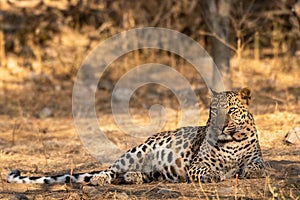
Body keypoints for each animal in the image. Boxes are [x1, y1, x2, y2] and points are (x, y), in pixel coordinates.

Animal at [6, 87, 264, 184]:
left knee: (142, 173)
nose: (219, 126)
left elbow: (257, 165)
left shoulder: (257, 157)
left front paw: (248, 171)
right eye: (215, 111)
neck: (231, 141)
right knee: (110, 169)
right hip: (137, 151)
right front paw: (216, 174)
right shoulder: (195, 164)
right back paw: (103, 179)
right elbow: (206, 170)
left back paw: (134, 177)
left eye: (231, 111)